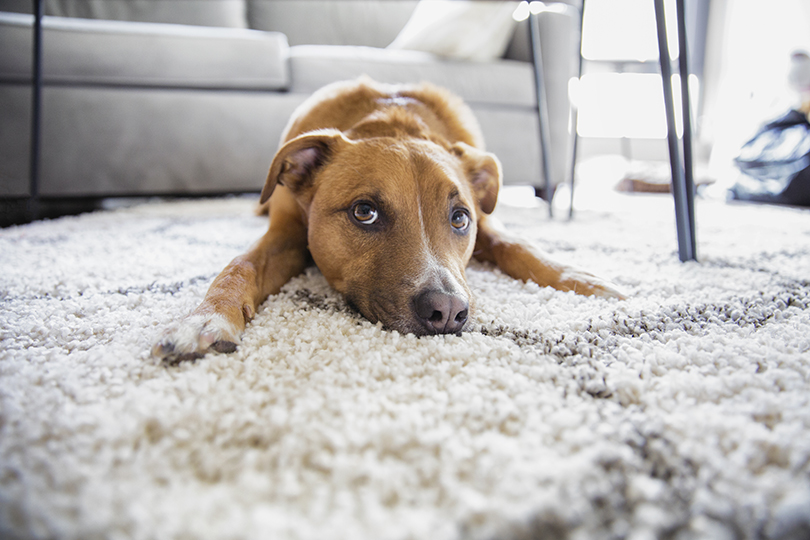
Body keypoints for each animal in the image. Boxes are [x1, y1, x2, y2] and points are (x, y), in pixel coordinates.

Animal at [150, 77, 620, 362]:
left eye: (460, 219)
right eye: (364, 212)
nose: (448, 311)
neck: (393, 125)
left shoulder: (488, 224)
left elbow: (519, 245)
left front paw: (580, 278)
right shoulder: (285, 231)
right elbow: (239, 266)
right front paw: (206, 318)